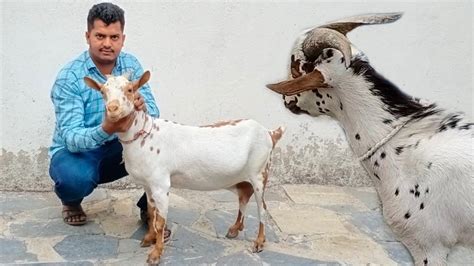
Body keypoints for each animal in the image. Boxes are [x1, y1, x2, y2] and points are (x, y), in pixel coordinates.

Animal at [84, 70, 286, 264]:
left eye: (130, 89)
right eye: (103, 92)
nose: (112, 108)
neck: (145, 135)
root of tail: (270, 133)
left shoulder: (161, 184)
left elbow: (160, 221)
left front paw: (156, 254)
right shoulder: (148, 185)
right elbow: (151, 213)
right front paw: (149, 239)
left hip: (260, 171)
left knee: (262, 206)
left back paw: (259, 241)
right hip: (238, 177)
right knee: (244, 195)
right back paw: (235, 228)